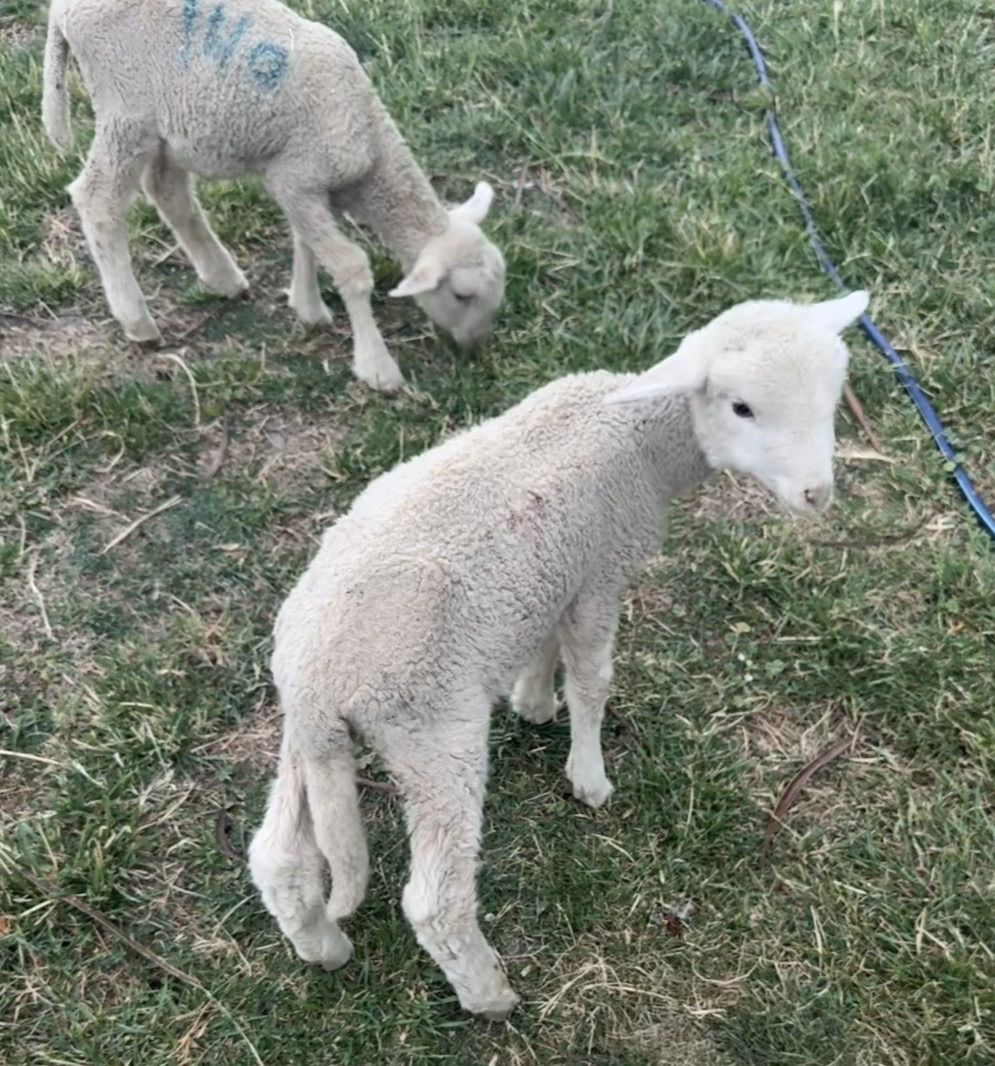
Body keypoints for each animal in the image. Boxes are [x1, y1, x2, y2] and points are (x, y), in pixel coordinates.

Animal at [41, 0, 505, 391]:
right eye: (462, 295)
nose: (476, 348)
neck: (372, 151)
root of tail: (62, 9)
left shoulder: (297, 182)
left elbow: (305, 240)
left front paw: (307, 306)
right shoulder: (298, 177)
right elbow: (351, 266)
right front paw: (377, 367)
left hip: (163, 127)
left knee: (166, 190)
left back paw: (222, 278)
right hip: (125, 108)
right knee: (97, 198)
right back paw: (137, 320)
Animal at [247, 290, 869, 1019]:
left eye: (832, 397)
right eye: (741, 407)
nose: (816, 494)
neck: (640, 441)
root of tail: (317, 682)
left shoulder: (556, 575)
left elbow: (543, 643)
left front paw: (534, 701)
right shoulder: (600, 571)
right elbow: (593, 680)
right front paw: (588, 776)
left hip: (307, 739)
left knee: (278, 858)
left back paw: (323, 948)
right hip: (432, 733)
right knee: (433, 903)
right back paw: (489, 994)